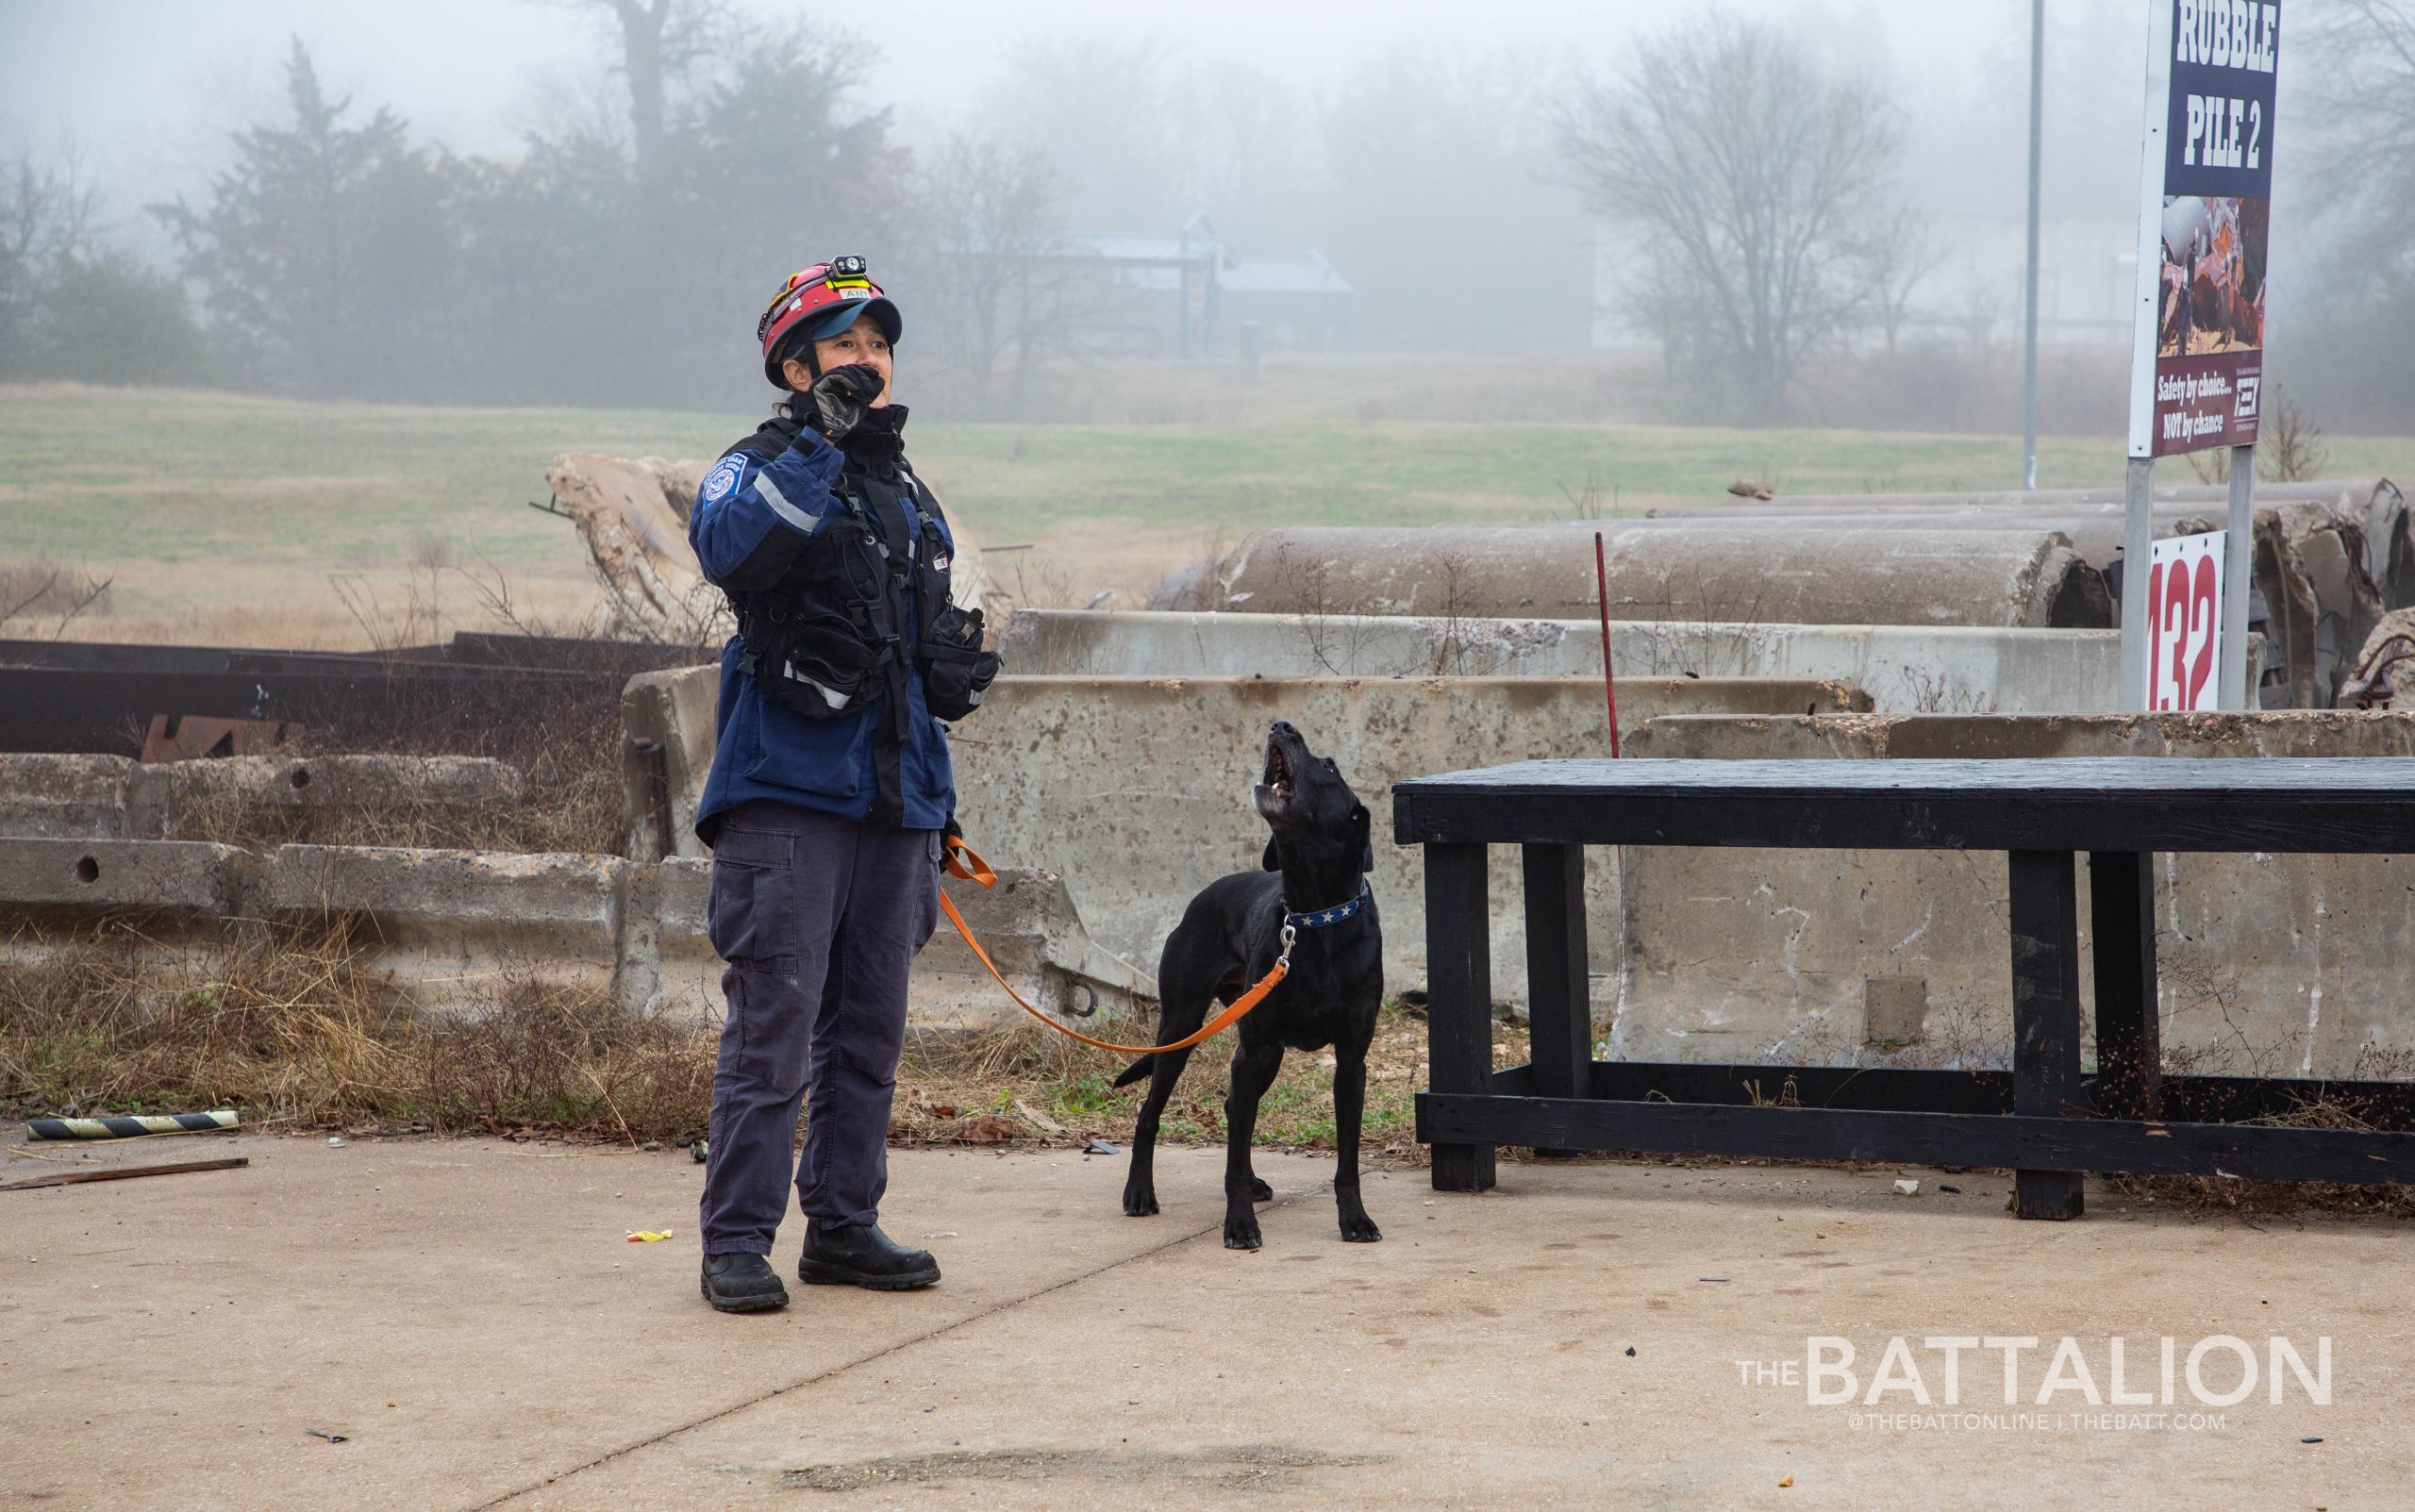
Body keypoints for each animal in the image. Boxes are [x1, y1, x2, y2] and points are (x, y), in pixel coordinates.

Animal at [1106, 720, 1381, 1246]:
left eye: (1329, 767)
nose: (1281, 725)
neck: (1313, 919)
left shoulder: (1350, 1061)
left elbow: (1349, 1161)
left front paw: (1355, 1219)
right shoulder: (1251, 1050)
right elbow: (1231, 1152)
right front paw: (1239, 1225)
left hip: (1262, 1052)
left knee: (1236, 1107)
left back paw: (1249, 1182)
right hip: (1183, 1027)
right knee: (1151, 1112)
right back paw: (1139, 1193)